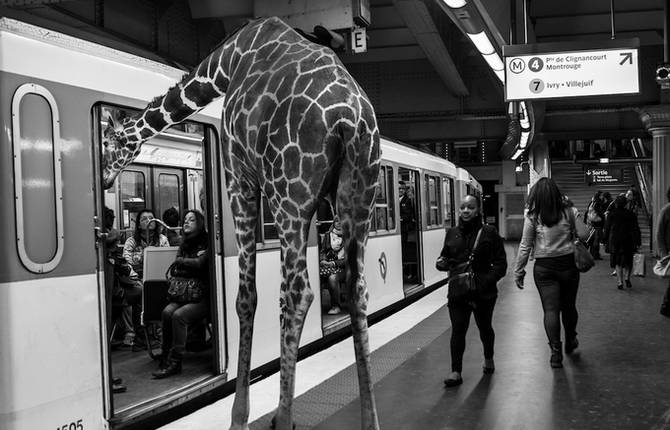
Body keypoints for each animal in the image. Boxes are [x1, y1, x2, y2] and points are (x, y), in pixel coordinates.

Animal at [101, 15, 384, 430]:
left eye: (110, 142)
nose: (104, 177)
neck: (223, 64)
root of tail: (352, 121)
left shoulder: (238, 177)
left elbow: (245, 297)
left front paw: (239, 416)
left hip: (290, 193)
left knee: (298, 293)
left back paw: (283, 418)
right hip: (356, 194)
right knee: (356, 288)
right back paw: (367, 420)